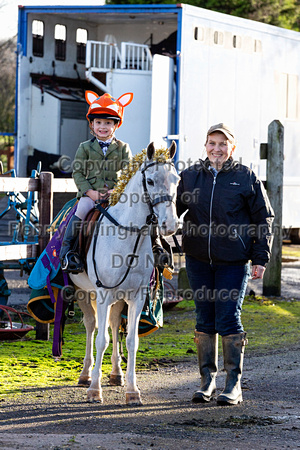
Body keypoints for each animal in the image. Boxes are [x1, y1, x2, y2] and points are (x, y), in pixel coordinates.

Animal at [69, 142, 178, 404]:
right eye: (150, 180)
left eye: (177, 179)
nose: (170, 225)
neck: (128, 234)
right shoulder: (103, 294)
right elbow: (101, 340)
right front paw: (94, 390)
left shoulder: (136, 296)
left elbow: (131, 340)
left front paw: (132, 390)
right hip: (82, 292)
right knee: (92, 327)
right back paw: (86, 375)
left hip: (119, 299)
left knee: (113, 324)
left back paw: (116, 374)